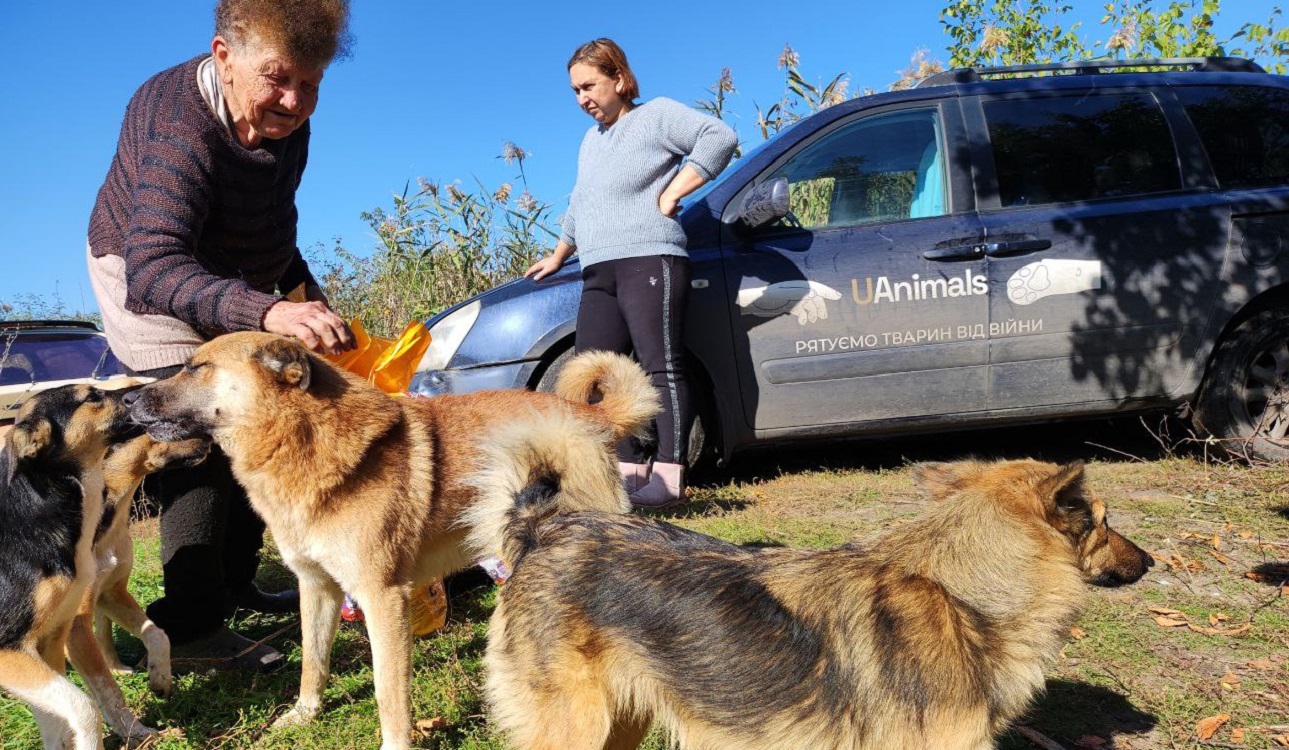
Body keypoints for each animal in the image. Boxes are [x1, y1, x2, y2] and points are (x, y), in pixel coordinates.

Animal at [0, 389, 142, 750]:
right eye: (91, 397)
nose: (142, 390)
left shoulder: (47, 644)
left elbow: (55, 723)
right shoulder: (9, 650)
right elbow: (85, 707)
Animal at [123, 332, 654, 750]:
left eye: (196, 368)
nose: (127, 401)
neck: (305, 440)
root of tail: (587, 414)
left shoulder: (382, 598)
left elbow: (387, 692)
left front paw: (395, 743)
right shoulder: (317, 589)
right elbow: (313, 662)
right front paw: (304, 714)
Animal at [469, 453, 1154, 750]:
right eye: (1105, 520)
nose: (1149, 562)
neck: (963, 594)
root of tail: (545, 529)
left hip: (623, 718)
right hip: (578, 726)